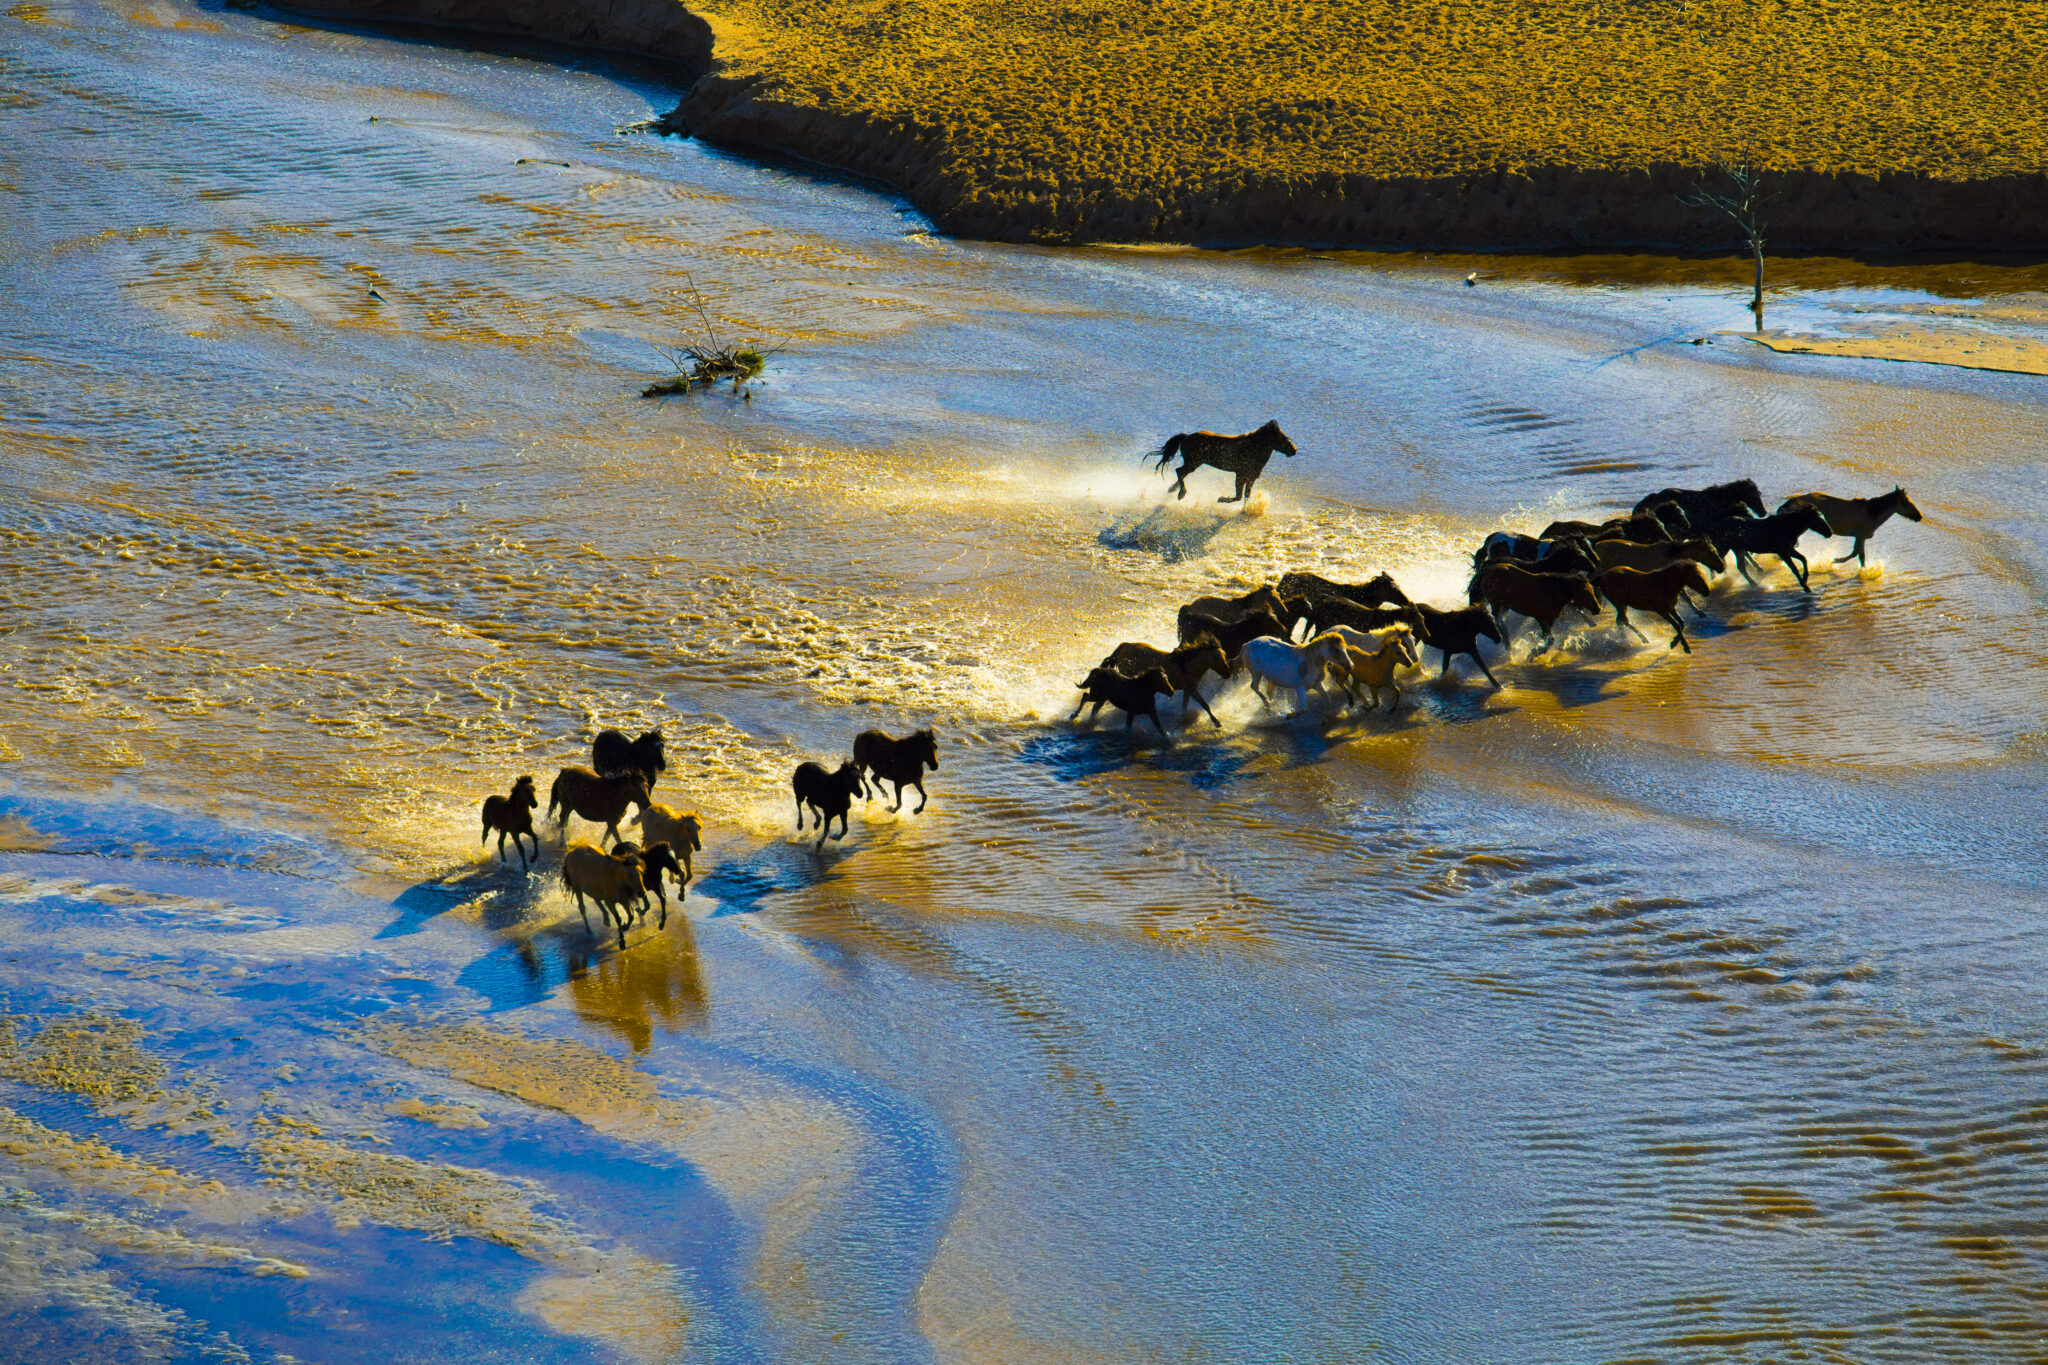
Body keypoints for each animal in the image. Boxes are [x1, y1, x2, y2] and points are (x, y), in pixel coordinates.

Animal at [1155, 421, 1294, 507]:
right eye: (1282, 437)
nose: (1294, 450)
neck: (1253, 448)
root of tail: (1185, 436)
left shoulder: (1252, 477)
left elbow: (1247, 495)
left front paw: (1245, 510)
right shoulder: (1241, 474)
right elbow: (1239, 496)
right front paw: (1221, 499)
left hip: (1193, 464)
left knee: (1181, 474)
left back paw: (1173, 488)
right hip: (1193, 463)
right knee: (1179, 471)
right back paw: (1181, 493)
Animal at [1581, 564, 1712, 654]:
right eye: (1695, 575)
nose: (1707, 591)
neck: (1666, 584)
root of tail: (1602, 576)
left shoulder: (1671, 608)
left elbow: (1681, 624)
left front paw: (1681, 645)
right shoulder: (1662, 611)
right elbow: (1677, 625)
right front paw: (1678, 645)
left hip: (1623, 604)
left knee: (1622, 621)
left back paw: (1640, 640)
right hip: (1620, 603)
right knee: (1622, 621)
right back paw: (1629, 642)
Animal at [1703, 501, 1835, 589]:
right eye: (1815, 518)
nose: (1829, 532)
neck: (1786, 527)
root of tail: (1714, 527)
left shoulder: (1789, 549)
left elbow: (1803, 559)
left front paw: (1805, 578)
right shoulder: (1783, 552)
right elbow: (1794, 568)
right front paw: (1805, 587)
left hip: (1737, 549)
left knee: (1741, 567)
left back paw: (1753, 583)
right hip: (1723, 548)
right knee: (1714, 562)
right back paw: (1713, 581)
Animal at [1777, 485, 1916, 564]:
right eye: (1907, 502)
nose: (1918, 516)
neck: (1874, 514)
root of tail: (1791, 501)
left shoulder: (1861, 537)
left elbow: (1858, 554)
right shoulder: (1860, 536)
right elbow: (1857, 555)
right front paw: (1836, 560)